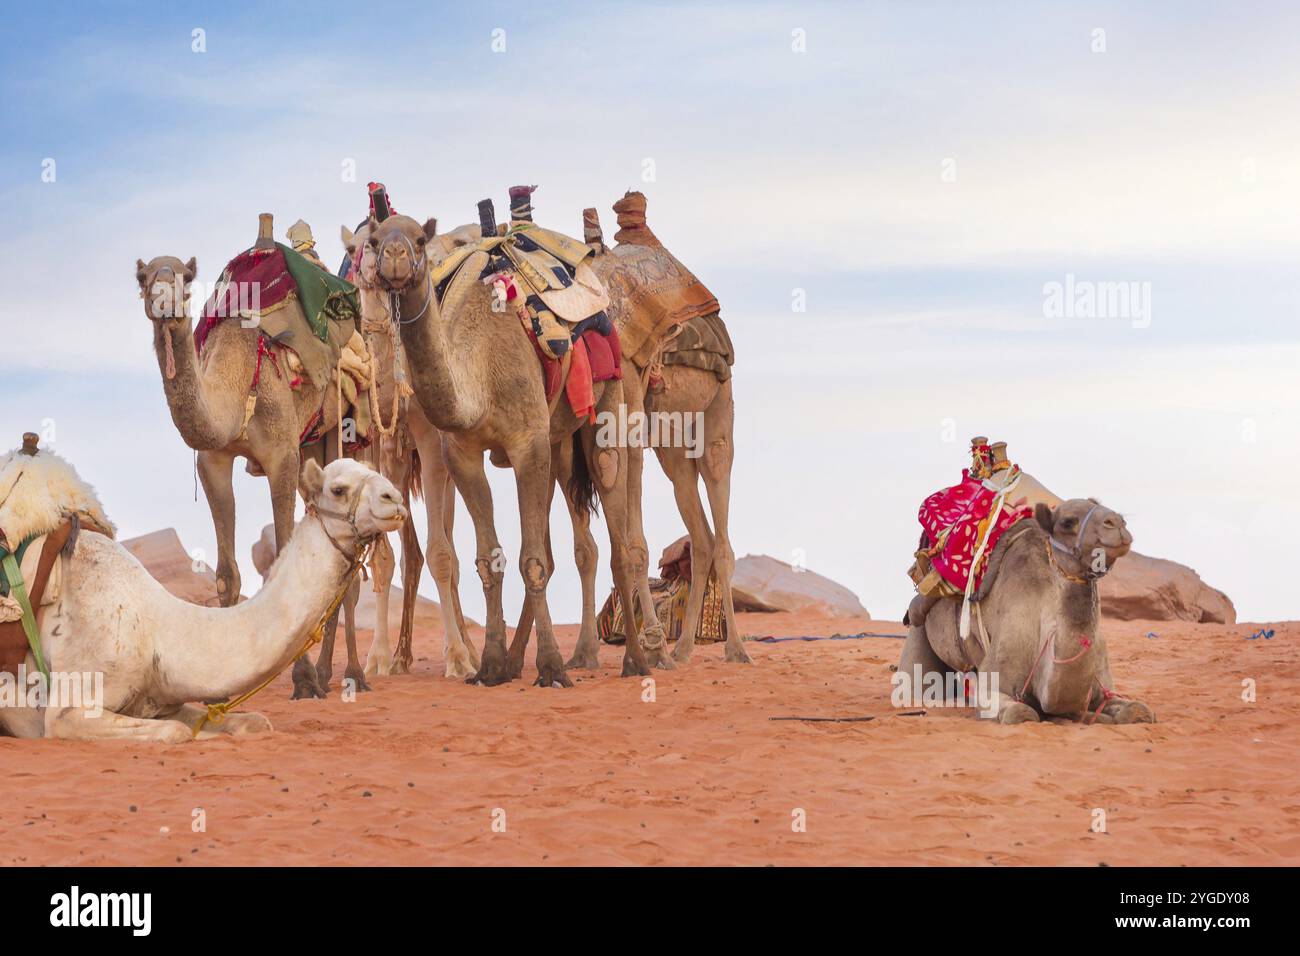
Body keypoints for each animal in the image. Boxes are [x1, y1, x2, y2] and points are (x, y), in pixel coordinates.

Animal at [0, 458, 407, 742]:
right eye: (338, 488)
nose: (396, 499)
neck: (156, 628)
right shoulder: (68, 710)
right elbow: (177, 734)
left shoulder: (161, 700)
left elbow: (251, 722)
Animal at [137, 248, 365, 699]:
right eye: (143, 278)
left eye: (186, 279)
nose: (163, 300)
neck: (238, 378)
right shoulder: (214, 461)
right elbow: (227, 575)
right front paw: (224, 687)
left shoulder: (281, 454)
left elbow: (281, 564)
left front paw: (302, 681)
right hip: (312, 445)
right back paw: (329, 672)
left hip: (353, 429)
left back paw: (351, 675)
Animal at [363, 211, 670, 685]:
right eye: (375, 240)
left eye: (418, 238)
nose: (395, 258)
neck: (480, 372)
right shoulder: (464, 454)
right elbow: (489, 560)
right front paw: (489, 666)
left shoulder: (527, 443)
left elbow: (533, 561)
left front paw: (550, 667)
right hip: (559, 444)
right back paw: (514, 659)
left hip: (607, 409)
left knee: (619, 537)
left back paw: (636, 659)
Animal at [898, 498, 1156, 724]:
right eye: (1068, 522)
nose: (1117, 522)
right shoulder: (997, 674)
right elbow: (1020, 713)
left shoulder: (1102, 684)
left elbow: (1136, 709)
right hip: (919, 629)